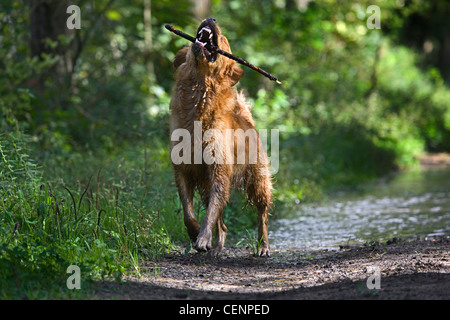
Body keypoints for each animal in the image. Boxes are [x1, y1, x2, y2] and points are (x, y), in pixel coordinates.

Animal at [169, 18, 272, 258]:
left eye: (224, 39)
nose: (211, 19)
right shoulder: (183, 170)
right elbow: (188, 212)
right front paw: (195, 233)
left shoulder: (219, 170)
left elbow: (211, 212)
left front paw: (202, 237)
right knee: (222, 223)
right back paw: (217, 247)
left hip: (258, 180)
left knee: (261, 214)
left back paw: (263, 245)